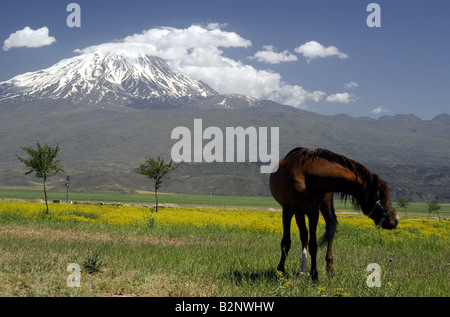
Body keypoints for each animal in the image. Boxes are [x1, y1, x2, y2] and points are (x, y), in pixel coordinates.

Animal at [268, 146, 396, 278]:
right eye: (381, 196)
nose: (393, 221)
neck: (305, 176)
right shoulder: (288, 210)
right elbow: (286, 242)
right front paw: (280, 270)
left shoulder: (313, 211)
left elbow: (313, 245)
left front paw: (314, 275)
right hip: (300, 212)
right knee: (304, 235)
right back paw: (302, 268)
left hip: (323, 206)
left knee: (327, 229)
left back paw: (329, 266)